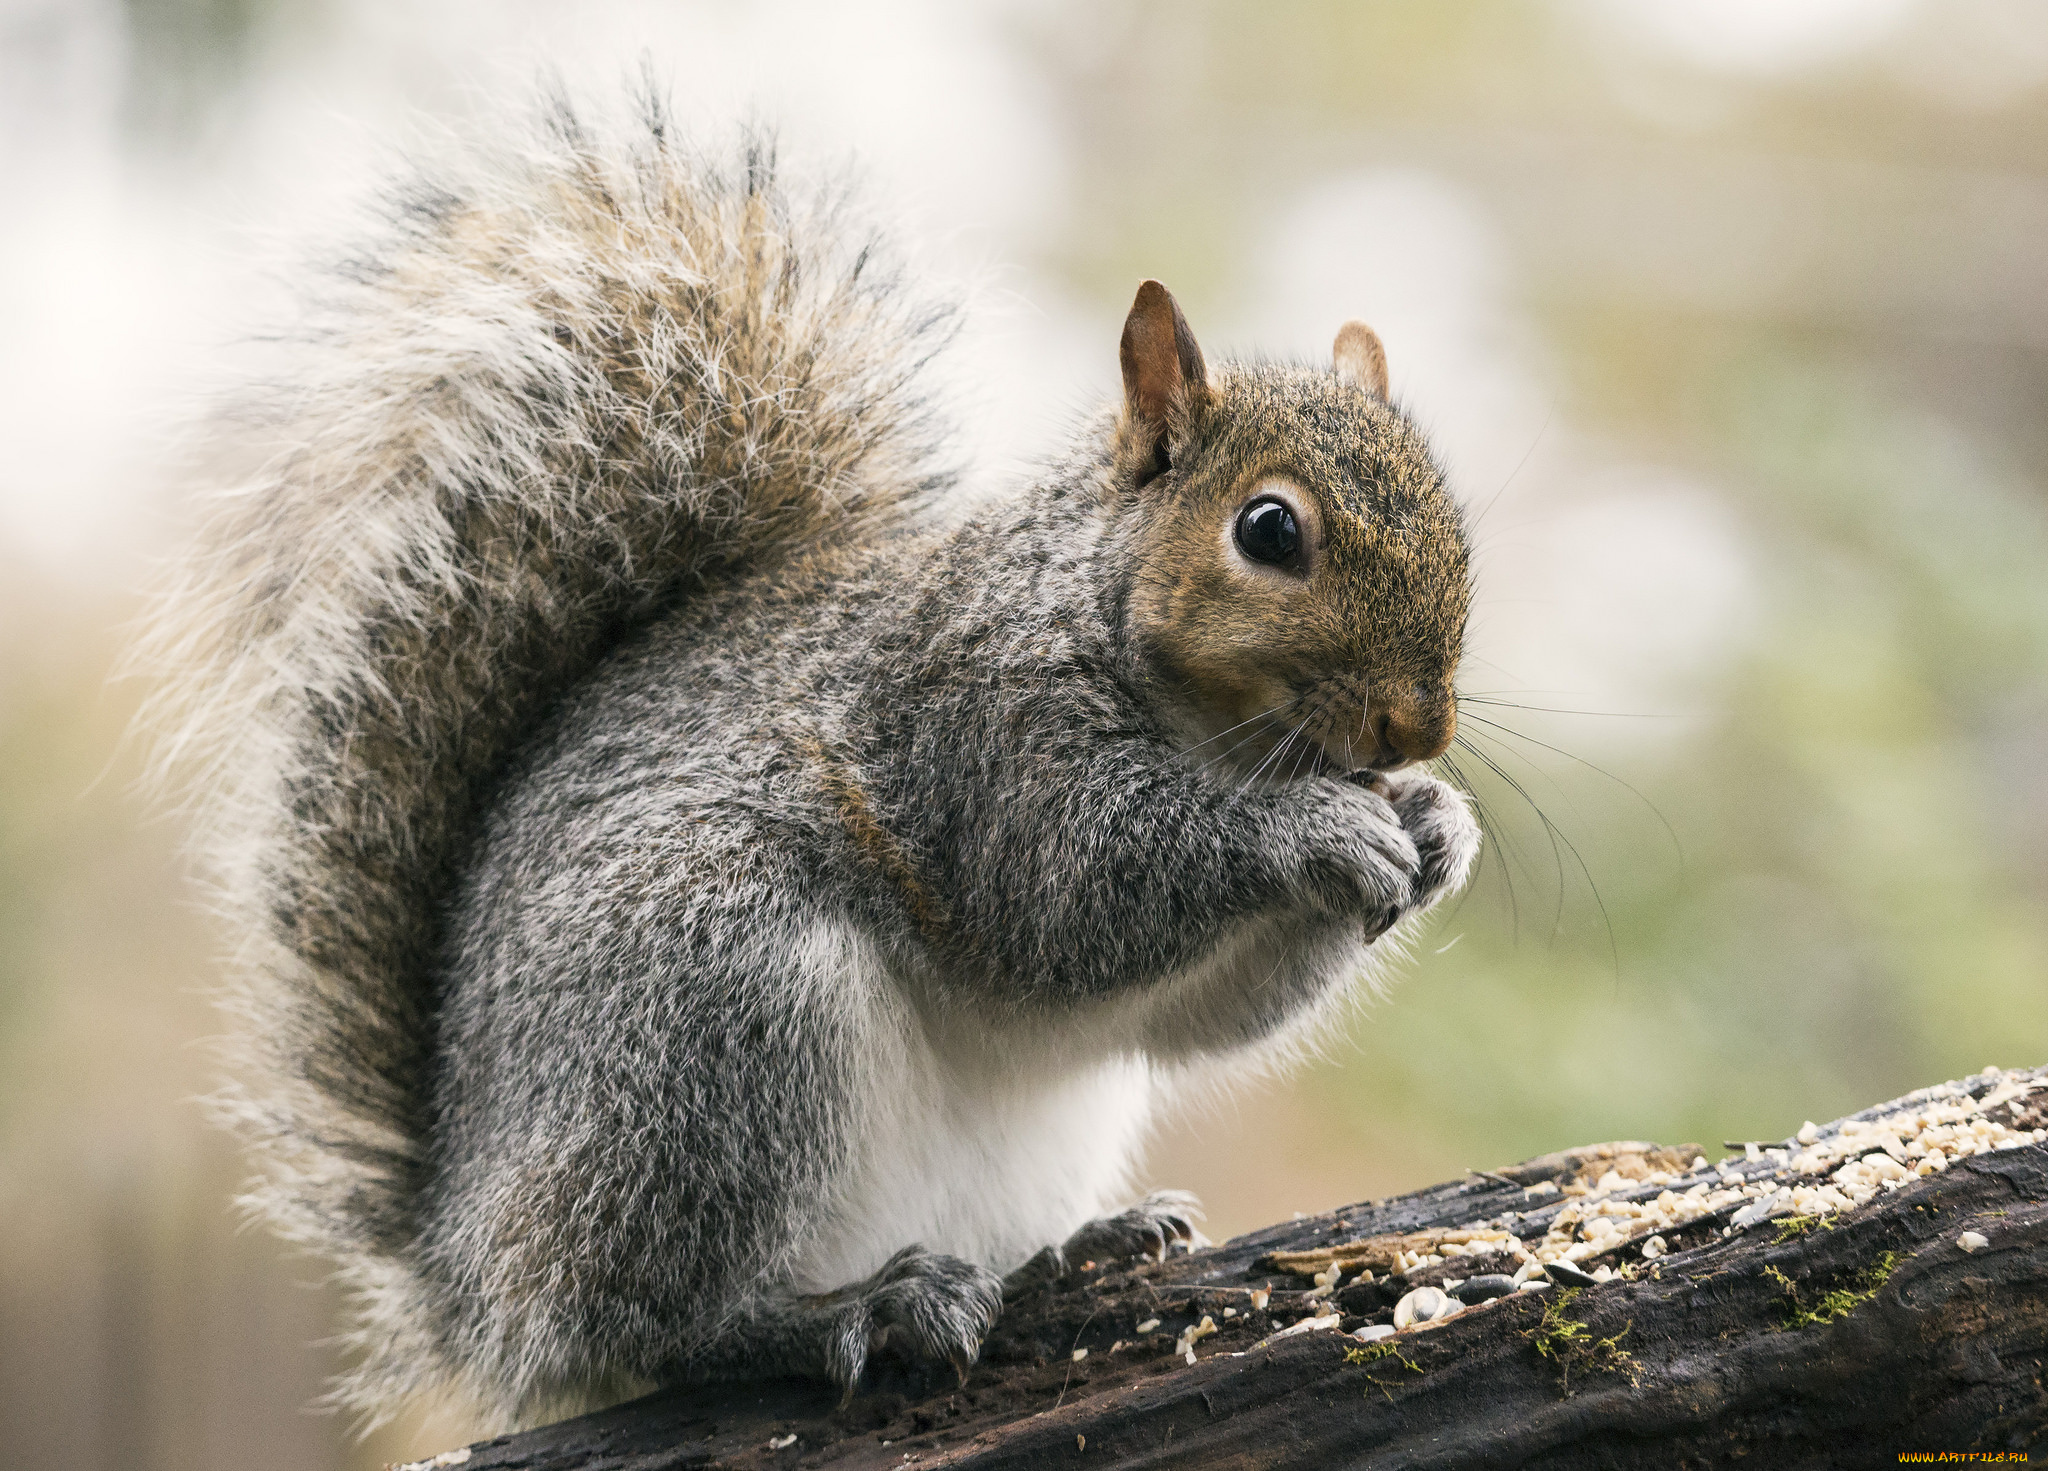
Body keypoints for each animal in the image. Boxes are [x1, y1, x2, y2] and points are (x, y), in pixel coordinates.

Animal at [151, 89, 1482, 1425]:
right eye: (1267, 530)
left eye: (1454, 522)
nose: (1414, 728)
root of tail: (465, 1275)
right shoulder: (978, 743)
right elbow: (1079, 892)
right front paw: (1314, 830)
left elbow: (1204, 1012)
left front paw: (1435, 822)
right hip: (713, 1013)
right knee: (647, 1320)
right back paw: (843, 1312)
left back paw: (1077, 1246)